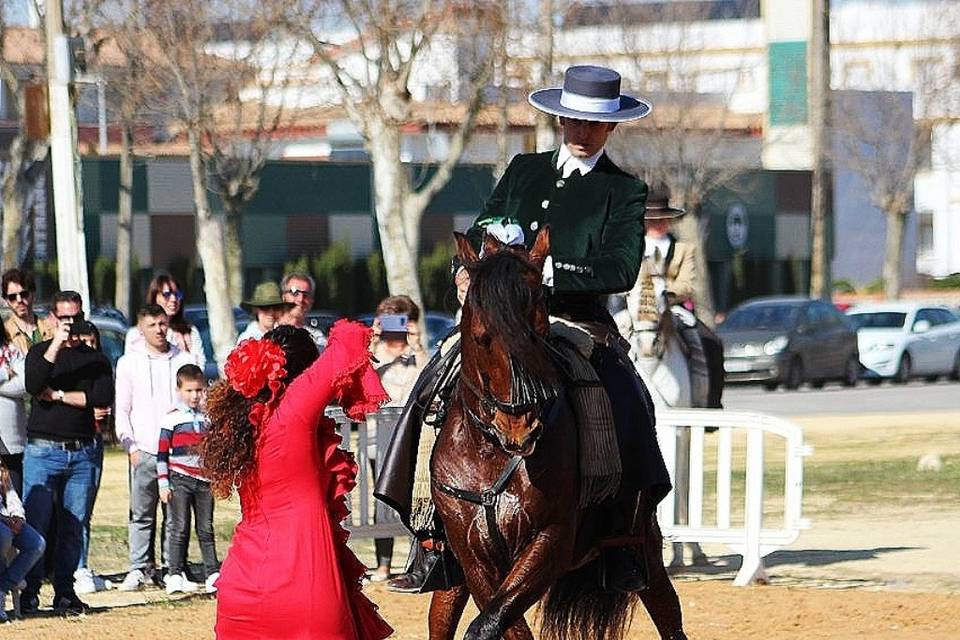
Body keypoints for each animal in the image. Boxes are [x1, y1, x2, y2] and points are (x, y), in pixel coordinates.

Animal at [430, 230, 688, 640]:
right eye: (483, 336)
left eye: (537, 330)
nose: (520, 427)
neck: (493, 453)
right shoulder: (475, 562)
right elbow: (501, 624)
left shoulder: (548, 543)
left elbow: (491, 622)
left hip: (643, 542)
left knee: (668, 613)